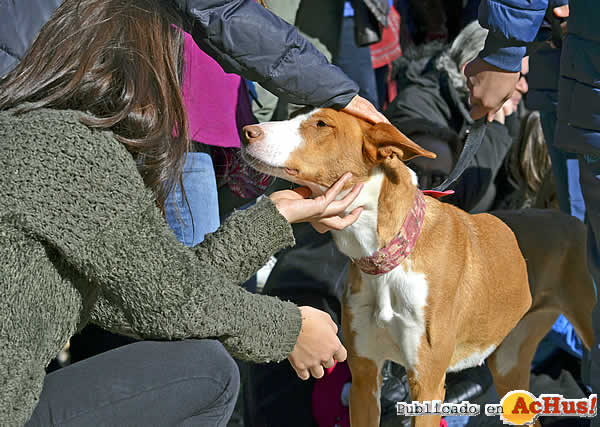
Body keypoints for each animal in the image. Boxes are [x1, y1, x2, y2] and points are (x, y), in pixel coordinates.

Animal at [240, 109, 596, 427]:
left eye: (322, 124)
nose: (247, 131)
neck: (387, 259)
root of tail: (575, 223)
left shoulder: (427, 384)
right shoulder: (364, 378)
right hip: (510, 361)